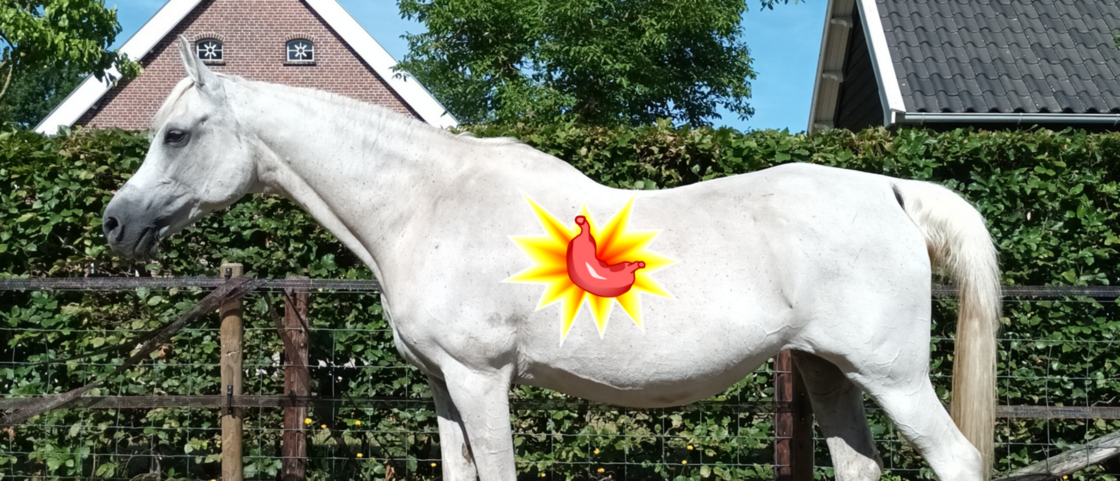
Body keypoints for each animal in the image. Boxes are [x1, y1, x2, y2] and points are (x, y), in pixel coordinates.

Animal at [102, 37, 1001, 481]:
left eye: (175, 134)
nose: (116, 223)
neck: (427, 203)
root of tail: (889, 189)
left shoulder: (480, 379)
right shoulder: (445, 386)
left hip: (891, 375)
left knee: (957, 459)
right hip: (828, 370)